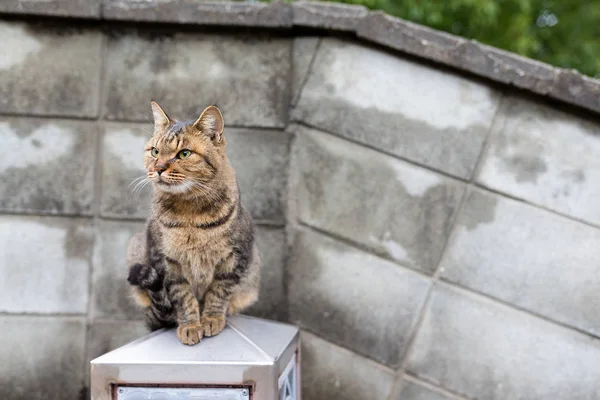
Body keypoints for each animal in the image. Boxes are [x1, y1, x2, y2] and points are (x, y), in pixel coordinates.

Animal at [125, 101, 258, 346]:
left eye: (184, 153)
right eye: (155, 151)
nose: (158, 168)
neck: (190, 213)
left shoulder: (234, 258)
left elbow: (219, 291)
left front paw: (211, 319)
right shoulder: (166, 262)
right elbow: (183, 296)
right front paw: (190, 325)